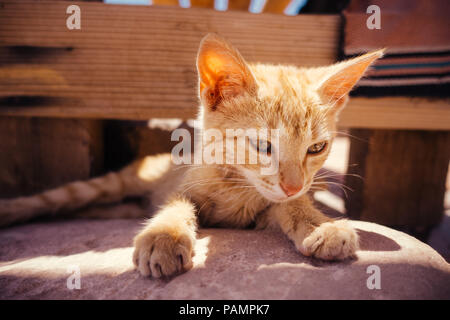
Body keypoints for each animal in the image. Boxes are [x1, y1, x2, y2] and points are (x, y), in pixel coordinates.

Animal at [0, 33, 384, 278]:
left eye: (316, 148)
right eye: (263, 145)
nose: (293, 185)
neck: (235, 182)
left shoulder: (265, 209)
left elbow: (290, 207)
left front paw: (320, 224)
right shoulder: (181, 187)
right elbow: (177, 203)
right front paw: (164, 237)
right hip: (113, 183)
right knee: (60, 198)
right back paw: (14, 212)